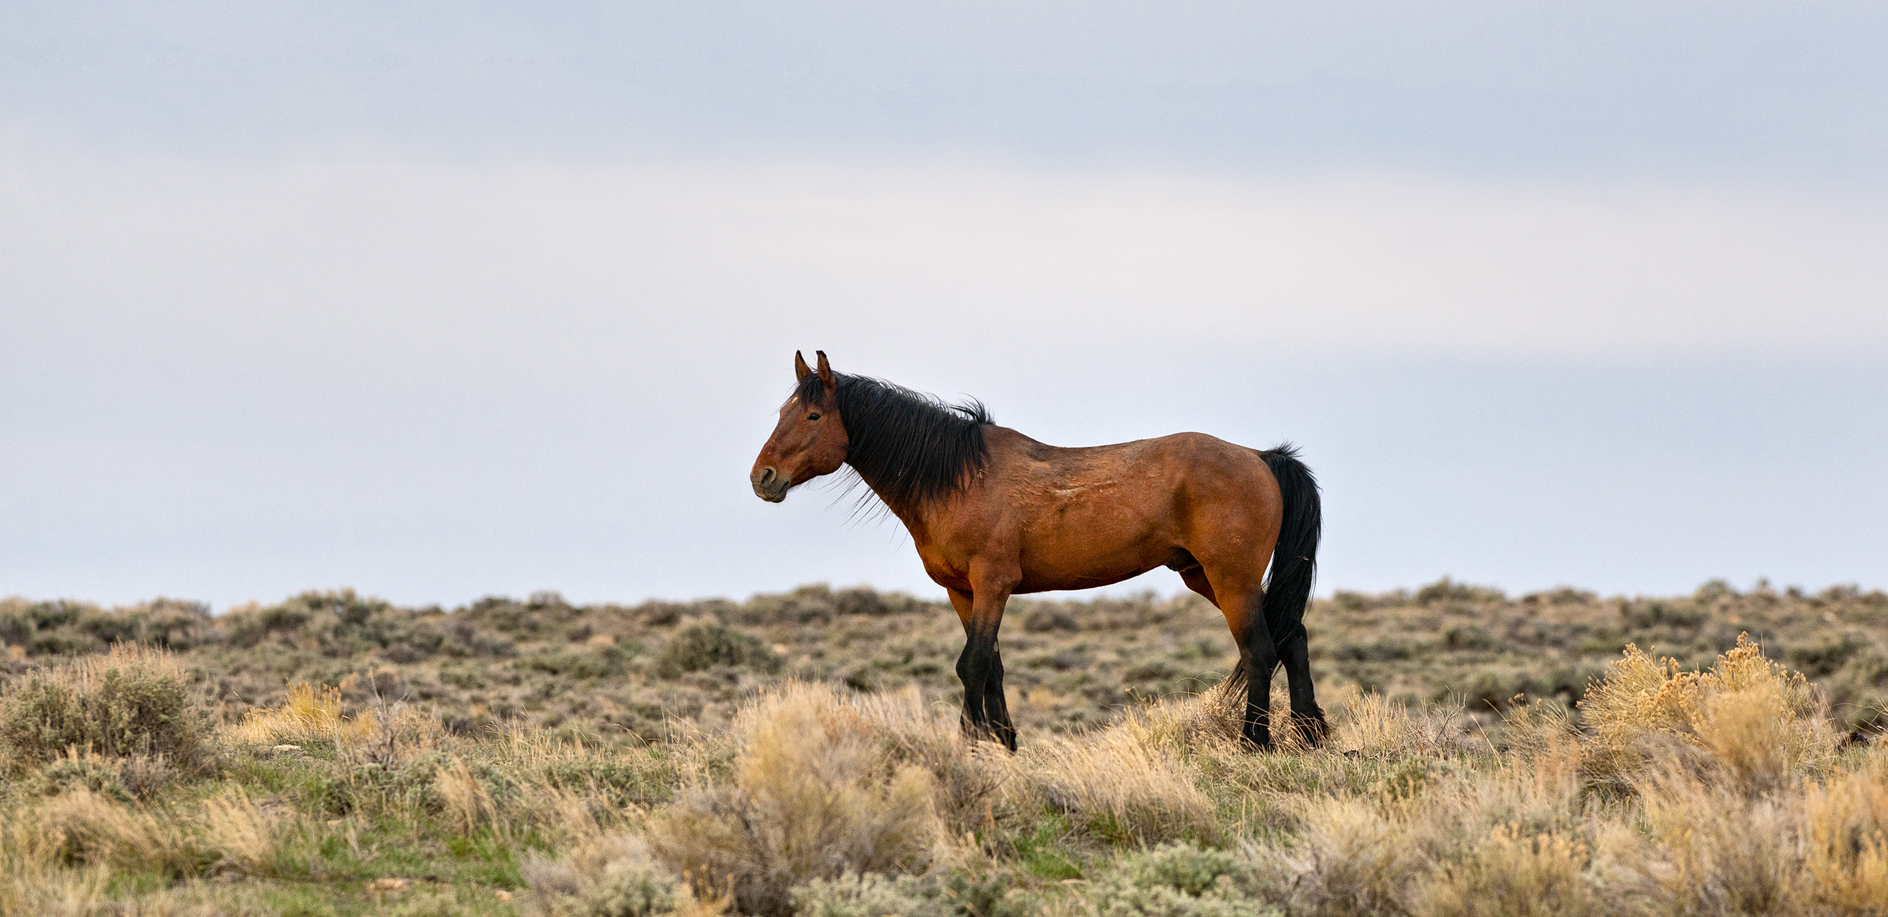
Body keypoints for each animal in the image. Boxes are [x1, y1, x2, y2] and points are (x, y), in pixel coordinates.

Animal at [749, 351, 1326, 750]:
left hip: (1231, 578)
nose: (763, 478)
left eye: (814, 416)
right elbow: (991, 666)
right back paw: (1309, 737)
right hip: (1204, 576)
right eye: (782, 410)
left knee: (1260, 650)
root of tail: (1260, 457)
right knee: (1292, 638)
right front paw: (1003, 743)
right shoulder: (963, 592)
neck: (958, 478)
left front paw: (971, 746)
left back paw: (1255, 744)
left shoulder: (993, 583)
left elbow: (972, 664)